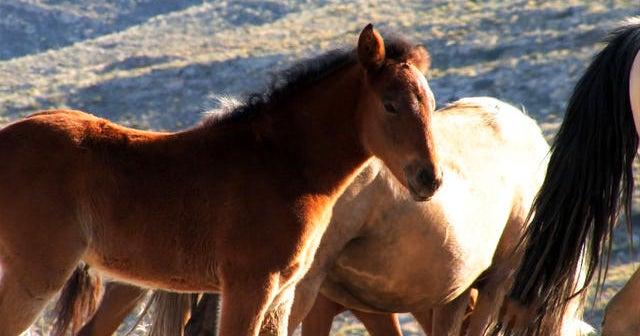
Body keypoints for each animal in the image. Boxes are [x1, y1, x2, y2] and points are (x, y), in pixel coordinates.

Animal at [0, 24, 440, 336]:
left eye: (431, 103)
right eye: (390, 105)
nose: (429, 179)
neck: (282, 164)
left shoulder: (281, 295)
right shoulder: (249, 286)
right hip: (35, 277)